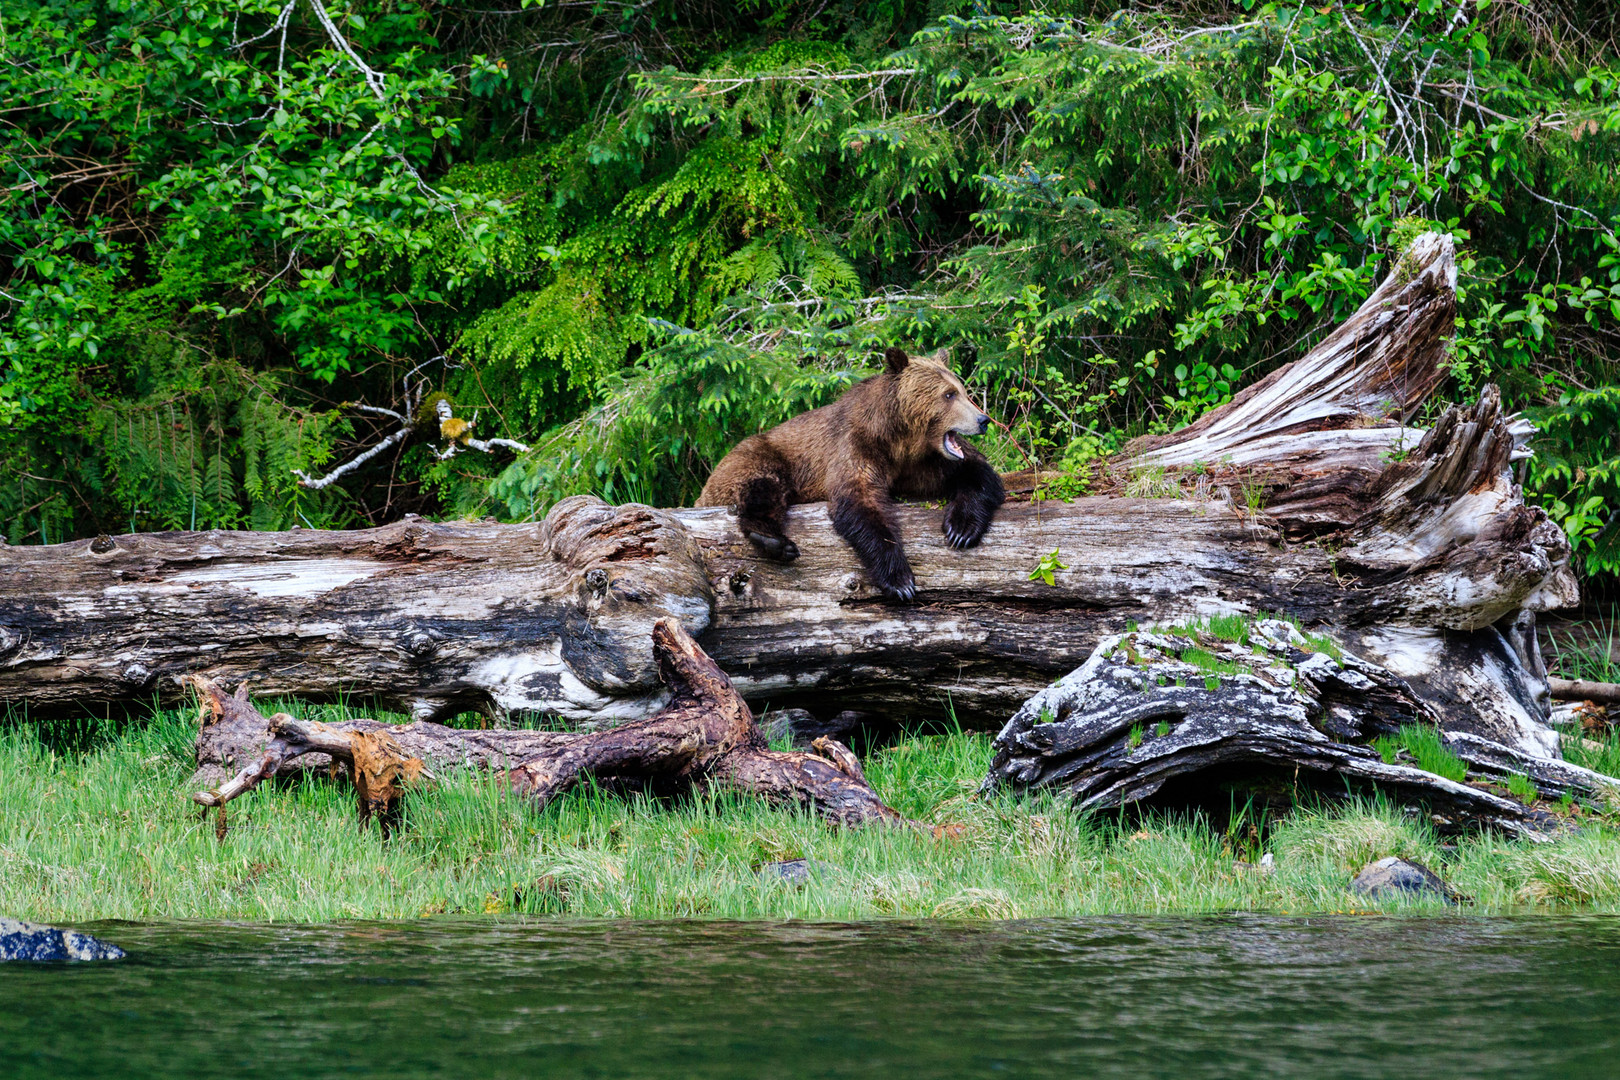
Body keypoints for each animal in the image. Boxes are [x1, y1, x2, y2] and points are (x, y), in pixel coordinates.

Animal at [693, 346, 997, 599]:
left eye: (961, 389)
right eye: (948, 394)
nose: (983, 419)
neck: (899, 441)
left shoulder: (921, 464)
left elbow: (976, 472)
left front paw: (961, 529)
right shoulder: (856, 447)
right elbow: (859, 502)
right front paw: (899, 580)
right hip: (758, 457)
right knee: (764, 486)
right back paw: (772, 540)